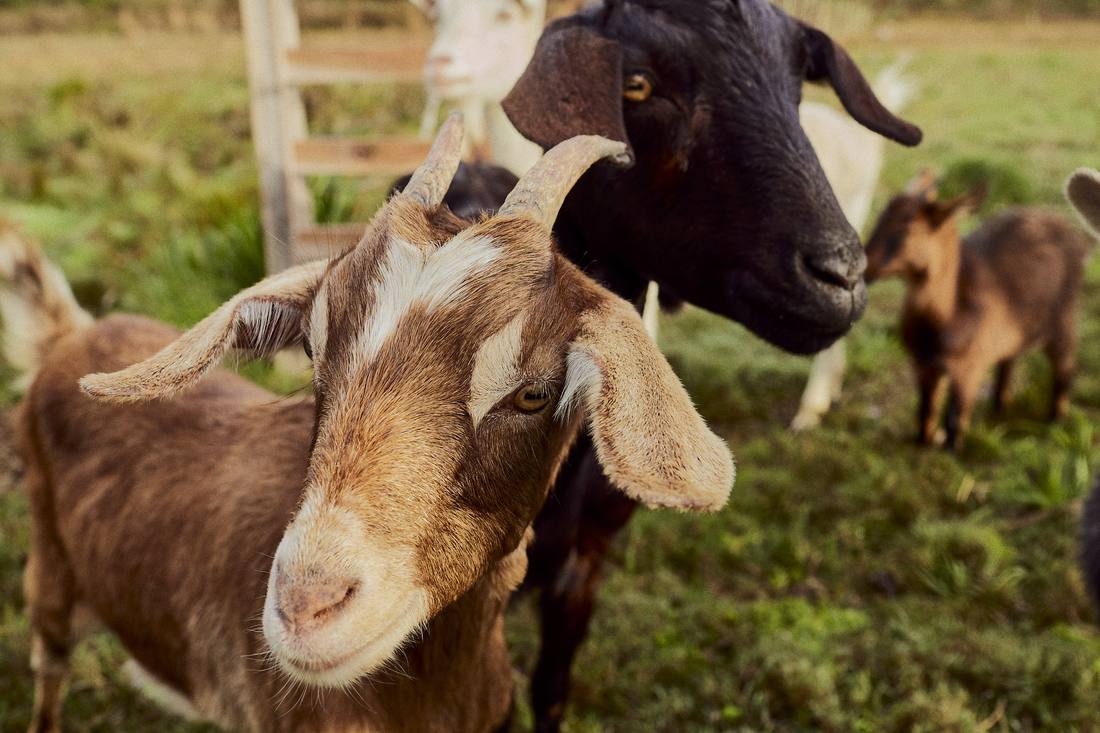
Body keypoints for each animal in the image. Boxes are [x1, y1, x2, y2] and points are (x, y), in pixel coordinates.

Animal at [864, 170, 1095, 450]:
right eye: (880, 218)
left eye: (906, 228)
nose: (865, 267)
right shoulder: (923, 365)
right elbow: (926, 412)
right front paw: (924, 443)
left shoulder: (970, 369)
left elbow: (955, 420)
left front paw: (950, 450)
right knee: (1009, 360)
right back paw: (999, 406)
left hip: (1064, 321)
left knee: (1065, 368)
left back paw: (1055, 421)